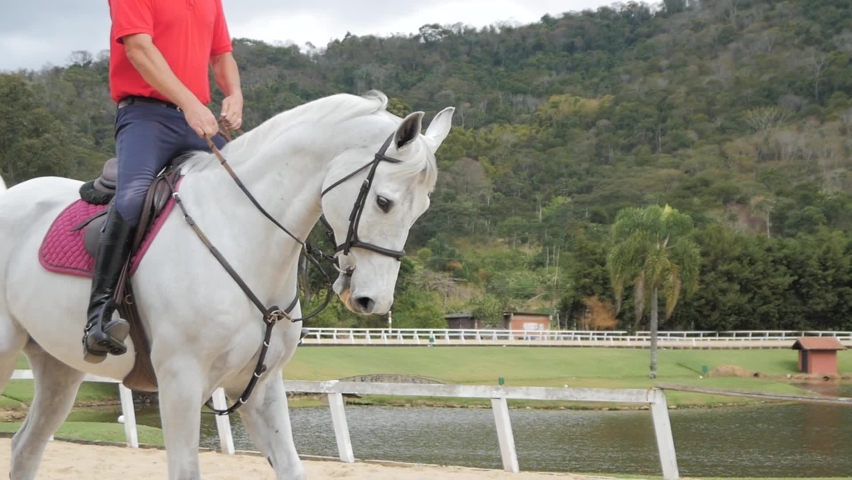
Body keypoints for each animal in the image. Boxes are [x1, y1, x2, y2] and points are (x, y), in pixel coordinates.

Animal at [0, 90, 454, 479]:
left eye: (422, 209)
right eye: (384, 201)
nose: (372, 300)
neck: (241, 234)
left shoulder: (262, 388)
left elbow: (291, 467)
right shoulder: (180, 384)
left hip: (59, 369)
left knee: (26, 447)